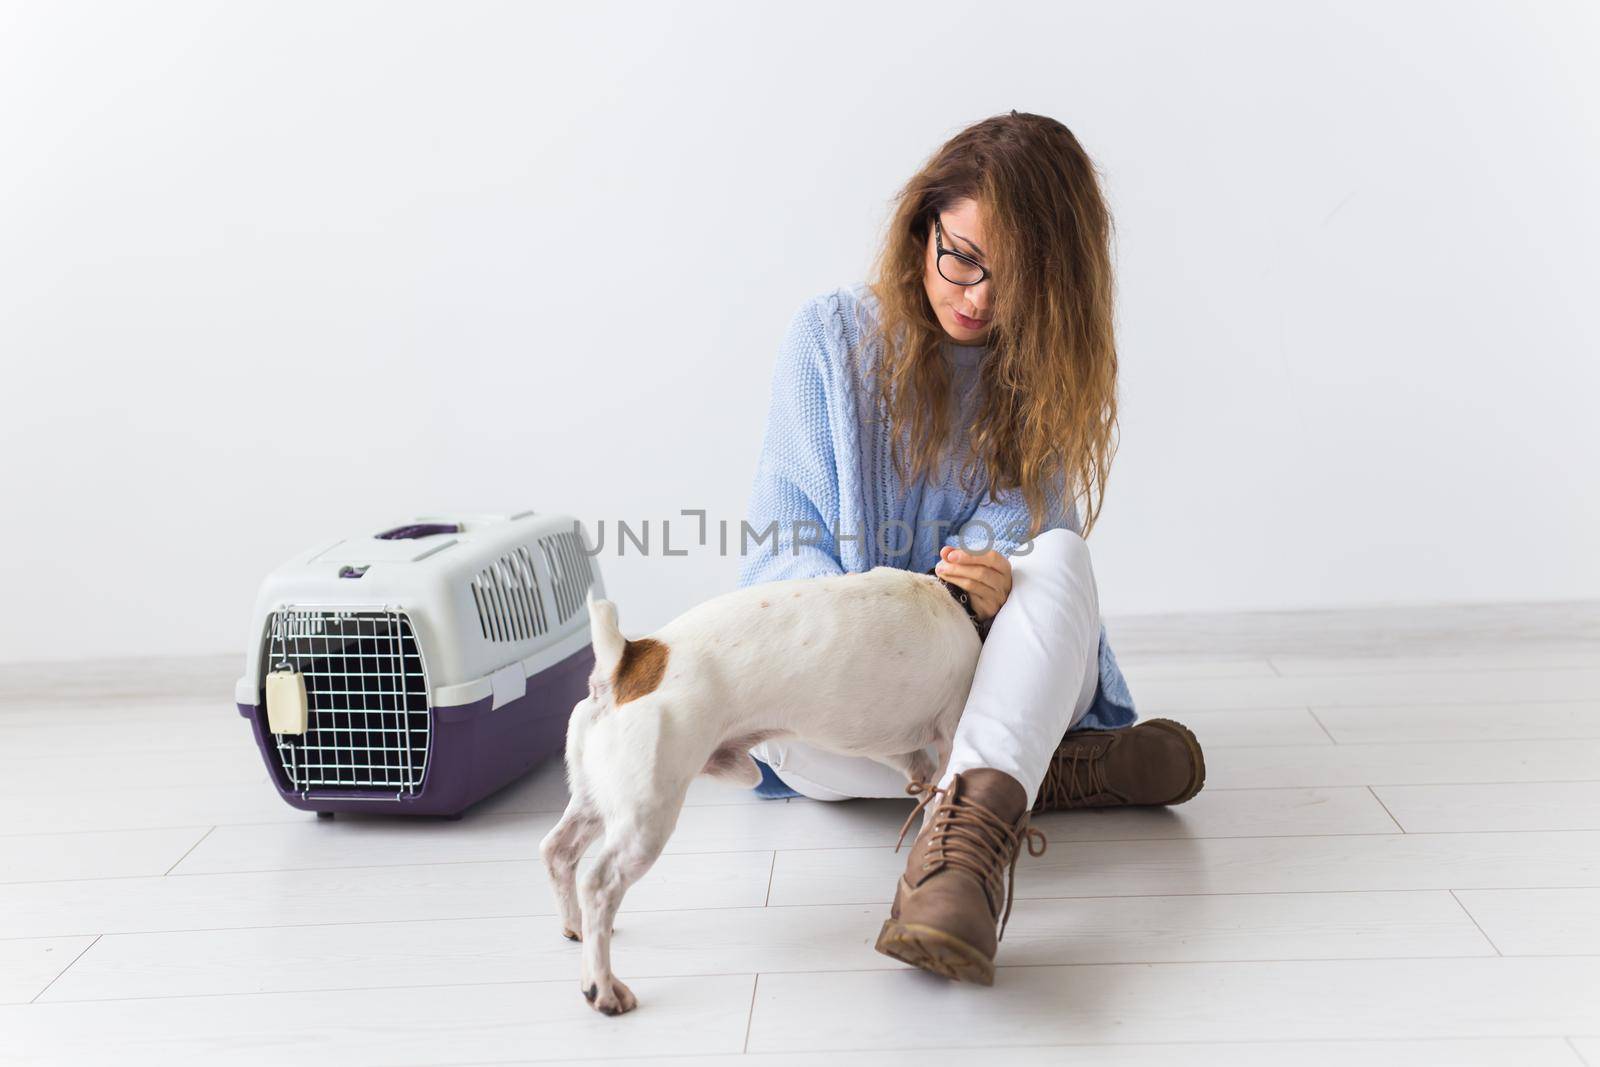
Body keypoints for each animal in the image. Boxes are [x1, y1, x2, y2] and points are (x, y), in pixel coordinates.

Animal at [537, 563, 979, 1017]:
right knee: (599, 884)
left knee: (558, 850)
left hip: (600, 797)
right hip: (646, 815)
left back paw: (574, 925)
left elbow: (922, 783)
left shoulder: (896, 750)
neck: (955, 601)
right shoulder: (950, 736)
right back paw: (603, 988)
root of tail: (625, 661)